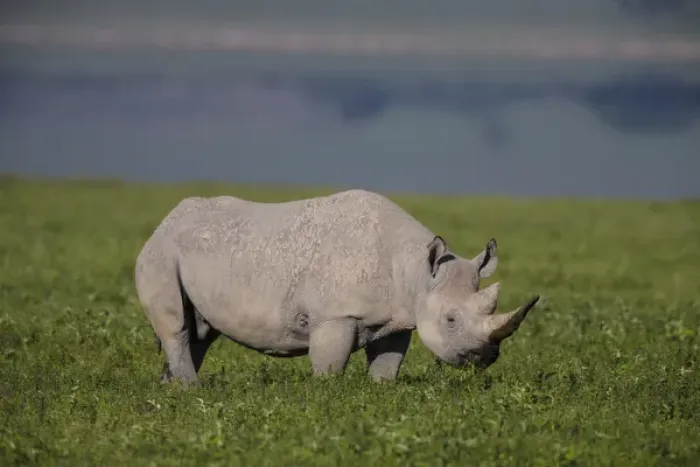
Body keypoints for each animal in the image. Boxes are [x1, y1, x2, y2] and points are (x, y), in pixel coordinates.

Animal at [135, 189, 540, 385]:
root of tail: (165, 221)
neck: (418, 274)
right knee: (178, 326)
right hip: (160, 253)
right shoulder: (335, 315)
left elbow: (388, 364)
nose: (484, 358)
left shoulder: (398, 316)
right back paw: (193, 391)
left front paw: (380, 392)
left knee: (200, 331)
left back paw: (173, 389)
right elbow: (330, 365)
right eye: (451, 320)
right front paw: (327, 396)